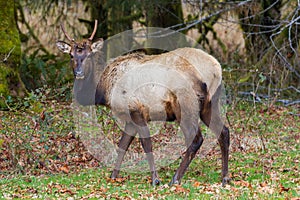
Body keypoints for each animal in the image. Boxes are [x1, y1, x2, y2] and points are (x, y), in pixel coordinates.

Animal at [55, 20, 230, 186]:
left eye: (89, 54)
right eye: (71, 55)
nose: (79, 73)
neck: (103, 90)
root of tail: (216, 69)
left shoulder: (136, 111)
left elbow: (146, 144)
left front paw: (155, 179)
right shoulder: (129, 119)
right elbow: (122, 145)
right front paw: (113, 176)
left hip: (185, 104)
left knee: (196, 138)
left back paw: (175, 179)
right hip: (210, 104)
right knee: (224, 131)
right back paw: (225, 177)